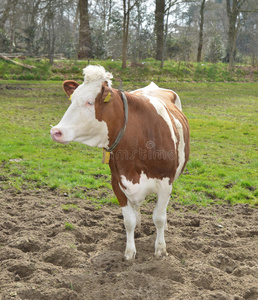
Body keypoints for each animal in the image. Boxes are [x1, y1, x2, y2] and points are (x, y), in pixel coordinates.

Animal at [50, 65, 189, 260]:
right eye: (73, 100)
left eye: (90, 102)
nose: (56, 131)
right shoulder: (117, 182)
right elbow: (128, 221)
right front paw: (129, 251)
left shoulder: (165, 183)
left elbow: (159, 218)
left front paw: (160, 249)